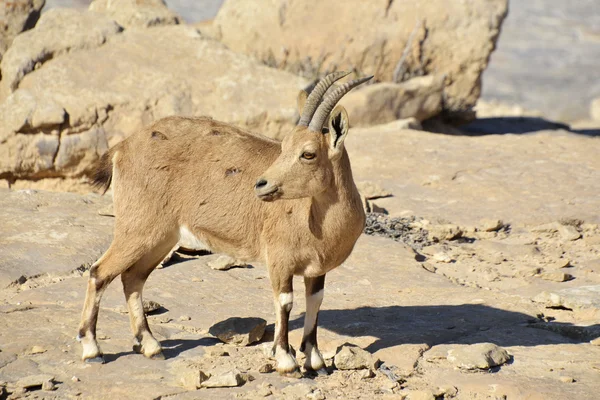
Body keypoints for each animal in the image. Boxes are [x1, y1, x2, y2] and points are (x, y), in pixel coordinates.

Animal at [78, 71, 372, 372]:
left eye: (308, 153)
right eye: (284, 146)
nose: (262, 185)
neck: (316, 218)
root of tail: (123, 147)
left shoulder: (316, 269)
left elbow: (315, 303)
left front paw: (315, 360)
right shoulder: (280, 261)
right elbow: (285, 303)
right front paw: (286, 360)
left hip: (161, 238)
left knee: (132, 277)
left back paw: (150, 345)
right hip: (137, 229)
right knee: (99, 272)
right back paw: (92, 349)